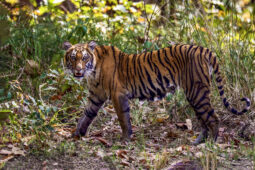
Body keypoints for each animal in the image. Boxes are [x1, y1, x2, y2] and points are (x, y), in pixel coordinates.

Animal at [62, 40, 250, 144]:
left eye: (84, 57)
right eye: (73, 57)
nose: (78, 70)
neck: (93, 71)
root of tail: (205, 50)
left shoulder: (117, 95)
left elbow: (123, 118)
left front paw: (125, 139)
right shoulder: (96, 96)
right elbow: (86, 116)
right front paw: (76, 135)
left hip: (197, 92)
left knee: (213, 118)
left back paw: (212, 144)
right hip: (194, 94)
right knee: (204, 120)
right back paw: (197, 143)